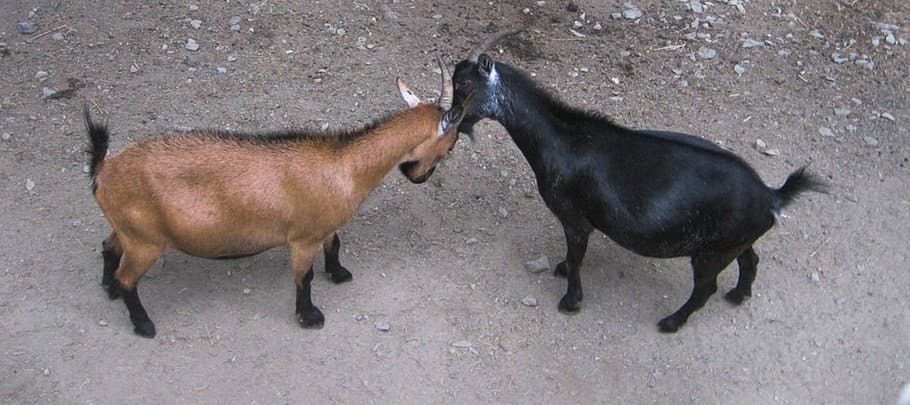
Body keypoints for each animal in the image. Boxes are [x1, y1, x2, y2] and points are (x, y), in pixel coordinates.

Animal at [85, 59, 465, 338]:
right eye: (452, 144)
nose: (420, 177)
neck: (345, 165)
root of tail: (104, 169)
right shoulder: (303, 238)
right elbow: (304, 278)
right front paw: (309, 316)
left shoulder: (325, 226)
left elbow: (335, 244)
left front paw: (339, 273)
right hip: (146, 242)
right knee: (128, 277)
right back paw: (142, 323)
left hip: (129, 229)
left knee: (108, 247)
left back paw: (108, 288)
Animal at [452, 29, 828, 332]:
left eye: (465, 85)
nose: (452, 118)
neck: (560, 139)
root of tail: (771, 196)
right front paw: (558, 268)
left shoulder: (575, 218)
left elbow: (576, 259)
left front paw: (570, 302)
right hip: (732, 242)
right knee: (750, 261)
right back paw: (737, 296)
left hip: (709, 253)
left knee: (705, 288)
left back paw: (671, 323)